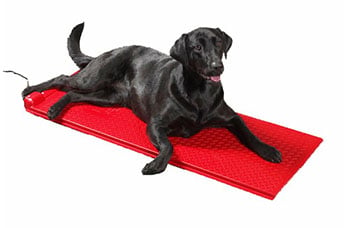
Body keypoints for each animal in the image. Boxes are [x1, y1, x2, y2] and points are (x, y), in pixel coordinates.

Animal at [22, 23, 282, 174]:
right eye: (197, 47)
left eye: (218, 43)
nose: (216, 66)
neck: (200, 93)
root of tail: (106, 52)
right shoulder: (156, 124)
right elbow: (168, 146)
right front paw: (156, 164)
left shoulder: (231, 117)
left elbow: (249, 134)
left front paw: (268, 150)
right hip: (93, 78)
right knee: (63, 79)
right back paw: (32, 92)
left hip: (110, 98)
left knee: (73, 94)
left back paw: (55, 107)